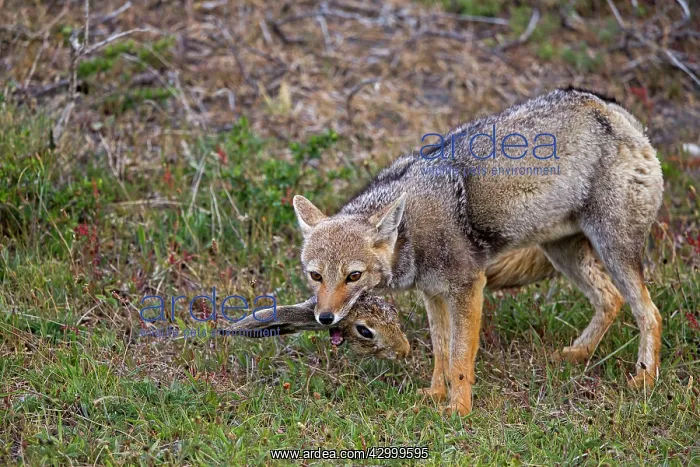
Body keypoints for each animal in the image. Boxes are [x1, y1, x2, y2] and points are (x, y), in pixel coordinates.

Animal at [292, 87, 664, 415]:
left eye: (353, 276)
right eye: (316, 276)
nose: (325, 318)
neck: (411, 227)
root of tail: (613, 109)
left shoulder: (468, 288)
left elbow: (458, 358)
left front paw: (458, 410)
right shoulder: (434, 294)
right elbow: (441, 352)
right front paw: (435, 394)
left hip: (614, 251)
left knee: (649, 312)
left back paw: (644, 379)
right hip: (563, 253)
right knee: (610, 298)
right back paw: (578, 354)